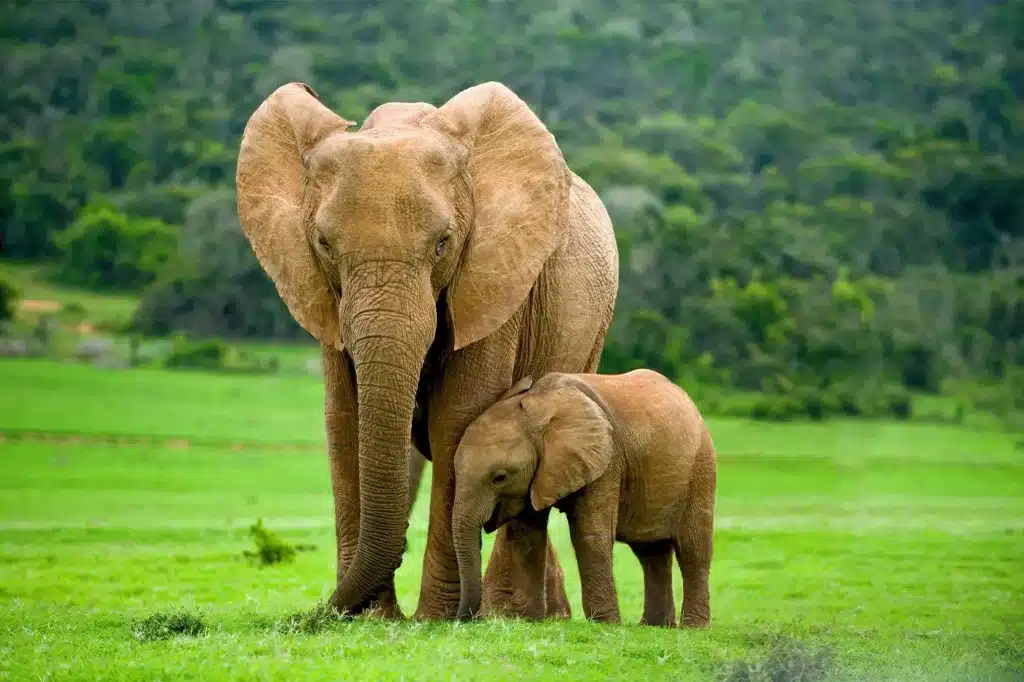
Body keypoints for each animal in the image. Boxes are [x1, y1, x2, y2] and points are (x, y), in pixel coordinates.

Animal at [235, 80, 618, 619]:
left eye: (443, 243)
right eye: (324, 244)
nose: (319, 613)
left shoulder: (493, 279)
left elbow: (457, 418)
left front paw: (434, 620)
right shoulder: (324, 298)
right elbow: (345, 418)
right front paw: (373, 619)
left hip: (592, 330)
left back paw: (509, 614)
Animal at [450, 370, 717, 627]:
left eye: (500, 477)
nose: (464, 620)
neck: (539, 407)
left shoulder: (606, 460)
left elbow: (590, 533)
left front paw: (605, 624)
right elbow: (527, 534)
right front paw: (530, 621)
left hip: (701, 468)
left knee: (693, 549)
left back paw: (693, 627)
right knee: (651, 552)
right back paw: (655, 626)